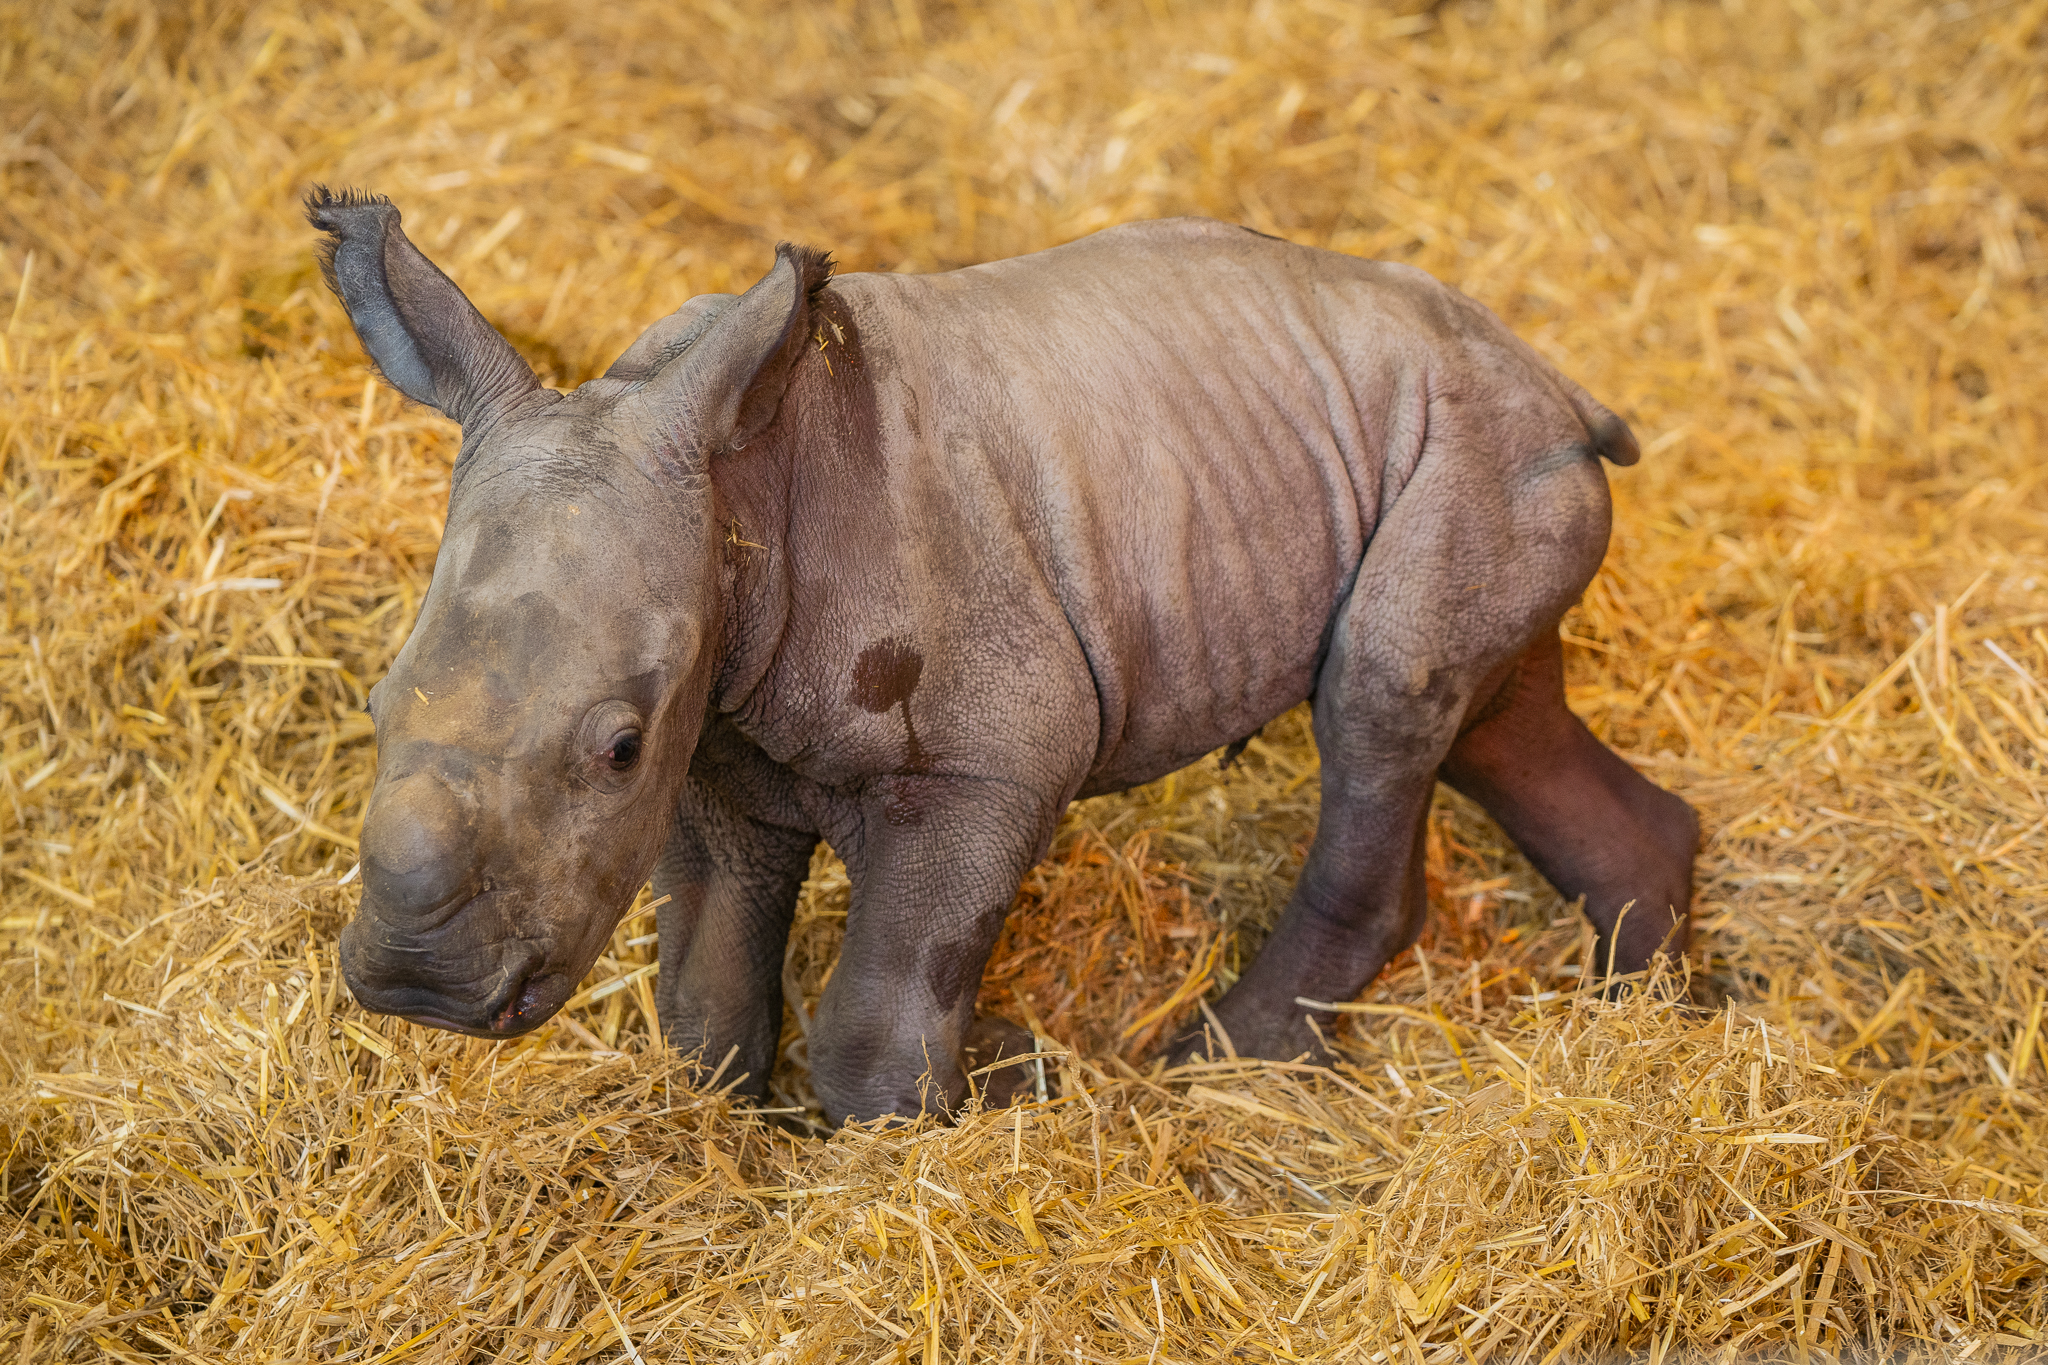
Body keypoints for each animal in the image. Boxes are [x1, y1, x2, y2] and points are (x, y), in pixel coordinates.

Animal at [319, 192, 1695, 1129]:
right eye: (376, 708)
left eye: (612, 747)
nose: (418, 986)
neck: (733, 492)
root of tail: (1557, 383)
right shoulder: (711, 753)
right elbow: (705, 1004)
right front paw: (728, 1140)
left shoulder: (983, 764)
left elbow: (875, 1025)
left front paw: (902, 1160)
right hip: (1475, 453)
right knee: (1488, 717)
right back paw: (1656, 1014)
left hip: (1467, 437)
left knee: (1381, 696)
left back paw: (1209, 1076)